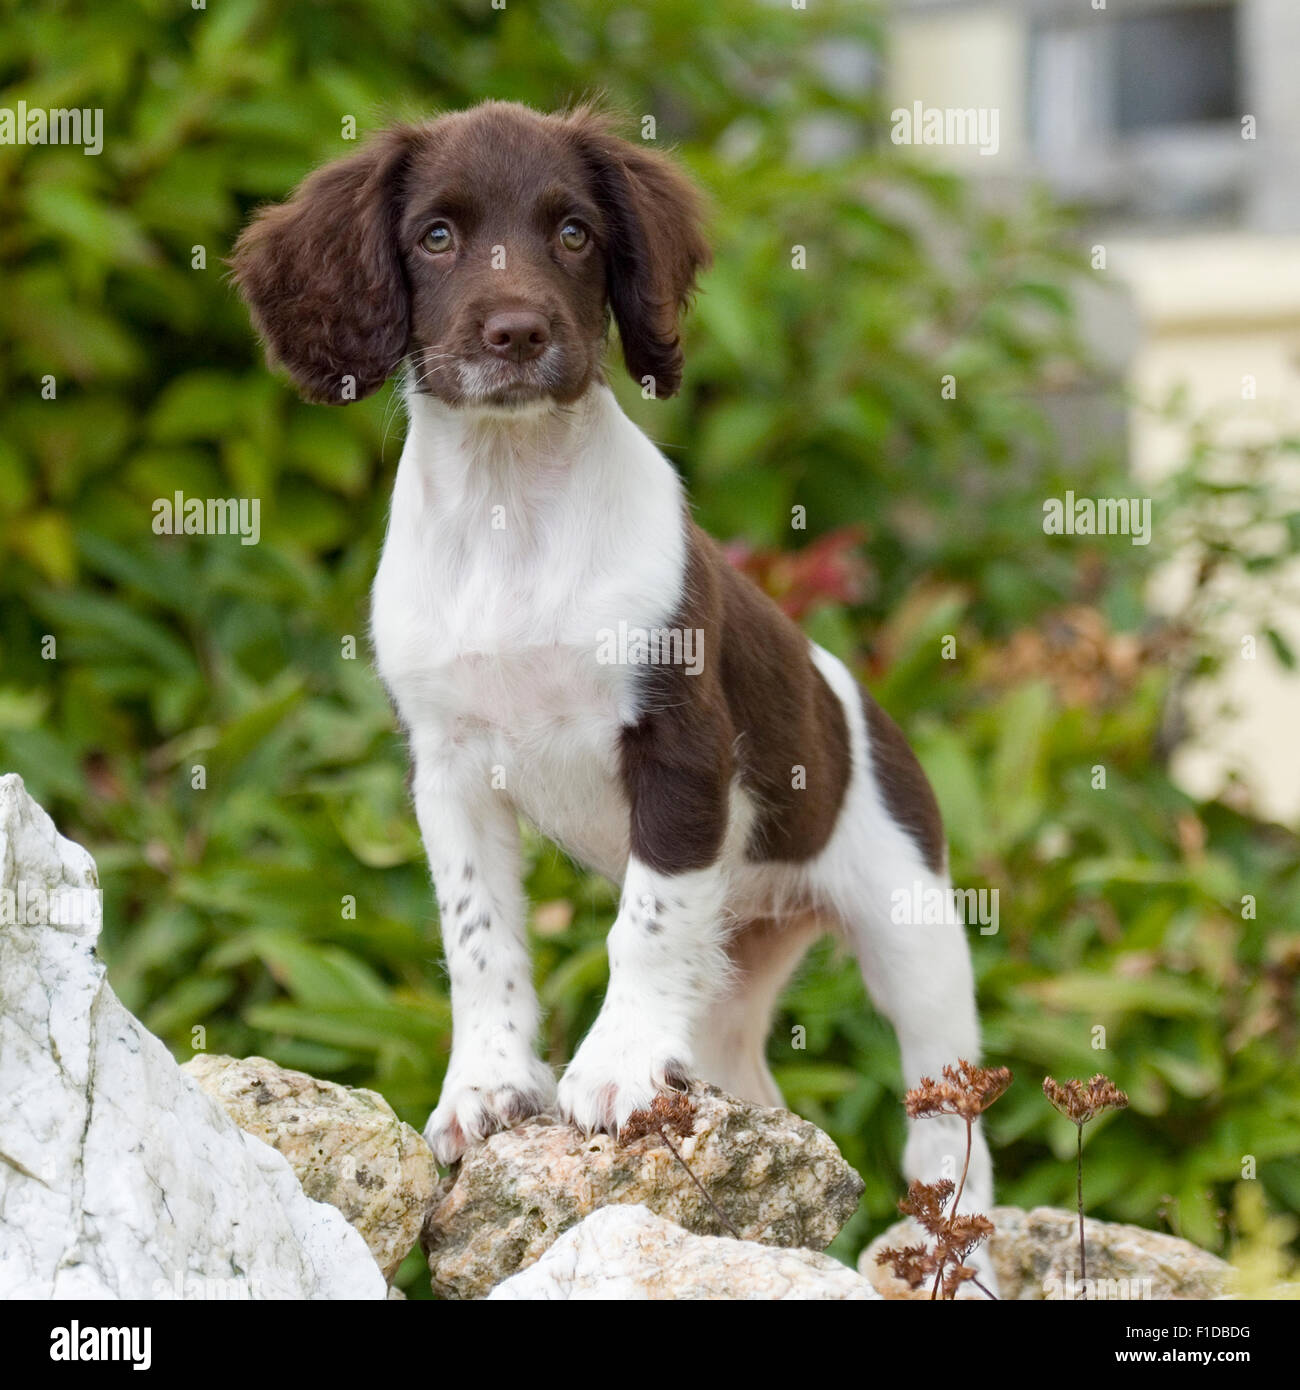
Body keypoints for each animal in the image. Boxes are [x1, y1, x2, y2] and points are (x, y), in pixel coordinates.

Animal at [230, 97, 995, 1212]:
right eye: (436, 235)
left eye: (574, 232)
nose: (517, 332)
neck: (510, 511)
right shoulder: (447, 769)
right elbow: (478, 936)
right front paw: (489, 1084)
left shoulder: (680, 748)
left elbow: (642, 920)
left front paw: (616, 1065)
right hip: (738, 967)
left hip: (912, 928)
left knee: (949, 1113)